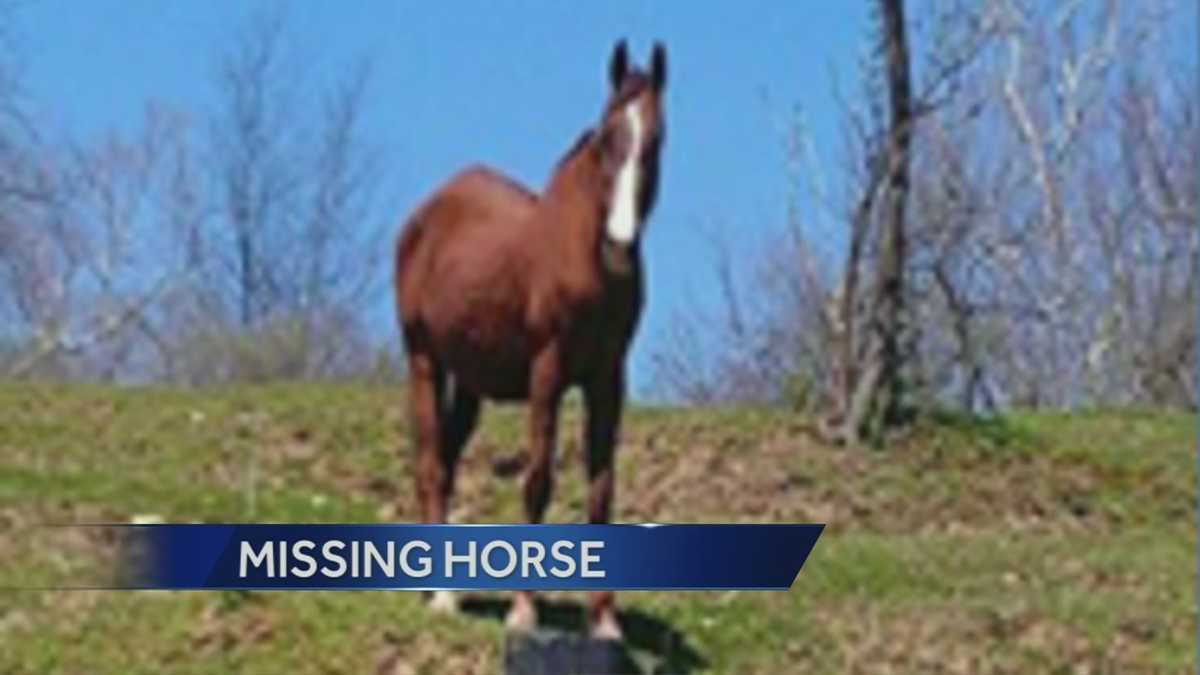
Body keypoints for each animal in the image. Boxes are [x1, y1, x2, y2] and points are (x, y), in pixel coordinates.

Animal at [393, 39, 666, 640]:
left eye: (656, 139)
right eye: (608, 137)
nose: (619, 243)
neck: (586, 261)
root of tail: (423, 214)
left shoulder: (608, 379)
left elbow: (601, 489)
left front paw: (604, 620)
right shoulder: (548, 373)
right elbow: (537, 480)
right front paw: (523, 609)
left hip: (469, 382)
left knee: (446, 463)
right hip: (424, 360)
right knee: (430, 464)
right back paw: (440, 595)